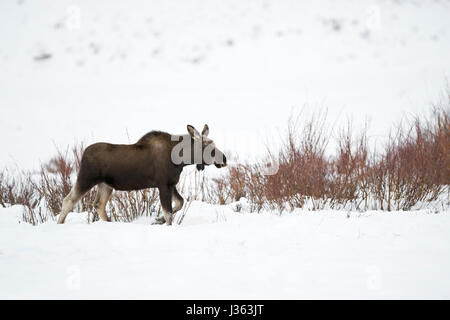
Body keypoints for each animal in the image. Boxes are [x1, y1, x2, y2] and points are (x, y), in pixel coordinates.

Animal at [58, 125, 227, 225]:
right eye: (207, 146)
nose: (224, 159)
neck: (182, 160)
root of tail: (83, 154)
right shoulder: (163, 184)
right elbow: (168, 213)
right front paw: (163, 222)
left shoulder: (171, 184)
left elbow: (179, 203)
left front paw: (158, 220)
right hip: (86, 178)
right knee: (68, 200)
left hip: (105, 185)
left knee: (99, 204)